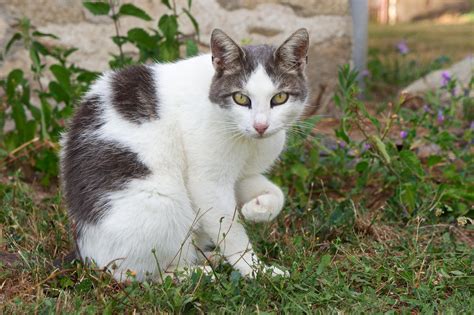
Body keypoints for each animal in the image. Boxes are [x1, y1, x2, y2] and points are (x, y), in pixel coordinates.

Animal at [59, 27, 310, 284]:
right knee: (138, 274)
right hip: (161, 203)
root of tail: (86, 255)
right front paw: (255, 270)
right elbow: (230, 230)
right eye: (240, 98)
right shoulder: (207, 182)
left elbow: (276, 193)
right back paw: (195, 272)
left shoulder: (242, 175)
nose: (261, 126)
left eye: (279, 98)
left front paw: (258, 209)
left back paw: (209, 258)